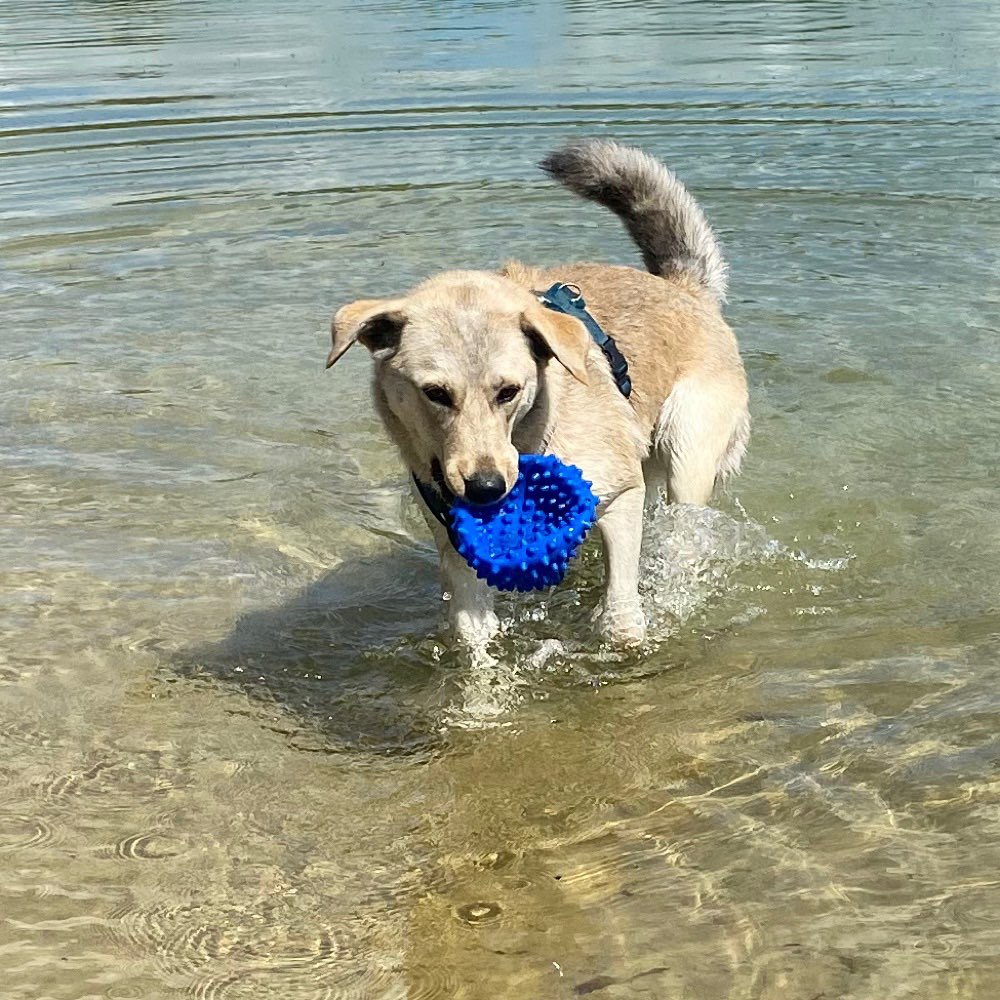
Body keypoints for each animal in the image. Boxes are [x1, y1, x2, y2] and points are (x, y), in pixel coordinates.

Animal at [328, 141, 752, 648]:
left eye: (508, 391)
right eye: (435, 393)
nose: (486, 489)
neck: (531, 435)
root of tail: (682, 288)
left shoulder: (622, 495)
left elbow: (620, 610)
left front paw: (624, 637)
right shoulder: (455, 548)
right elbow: (471, 638)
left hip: (688, 457)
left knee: (684, 530)